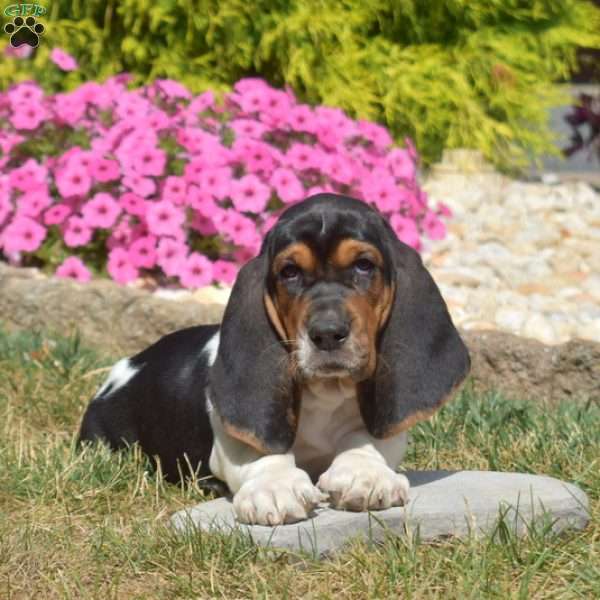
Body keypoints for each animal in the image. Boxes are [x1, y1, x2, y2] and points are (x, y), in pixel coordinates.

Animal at [77, 193, 472, 524]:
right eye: (290, 272)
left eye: (363, 265)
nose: (327, 333)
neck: (326, 392)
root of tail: (128, 365)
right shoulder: (232, 442)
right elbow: (263, 453)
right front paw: (275, 487)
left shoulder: (387, 429)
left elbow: (365, 441)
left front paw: (364, 476)